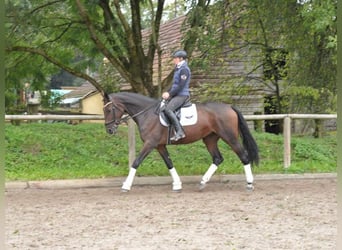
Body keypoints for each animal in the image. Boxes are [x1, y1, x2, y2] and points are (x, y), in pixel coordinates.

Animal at [103, 91, 258, 191]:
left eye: (109, 109)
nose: (109, 130)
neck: (147, 113)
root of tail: (229, 107)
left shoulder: (150, 144)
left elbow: (136, 162)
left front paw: (126, 185)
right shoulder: (159, 145)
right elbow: (169, 163)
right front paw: (177, 184)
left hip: (230, 137)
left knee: (244, 156)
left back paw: (250, 184)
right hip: (210, 139)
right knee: (217, 158)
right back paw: (203, 182)